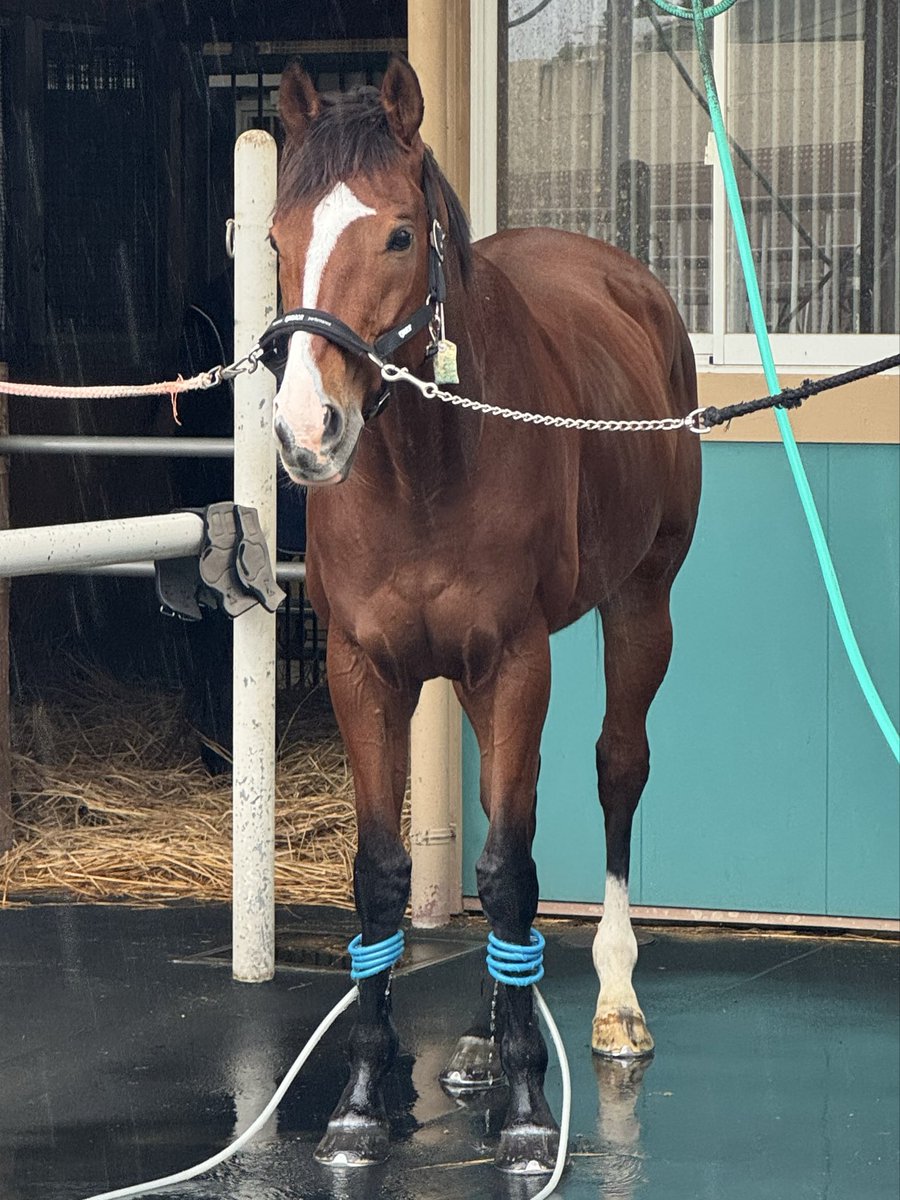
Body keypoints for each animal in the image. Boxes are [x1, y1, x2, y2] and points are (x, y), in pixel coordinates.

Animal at [265, 55, 701, 1175]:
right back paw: (480, 1027)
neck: (426, 466)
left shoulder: (514, 659)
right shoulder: (366, 671)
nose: (305, 431)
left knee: (614, 772)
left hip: (642, 602)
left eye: (398, 236)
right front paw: (363, 1101)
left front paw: (528, 1109)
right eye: (277, 238)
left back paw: (616, 1005)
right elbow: (387, 874)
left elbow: (509, 869)